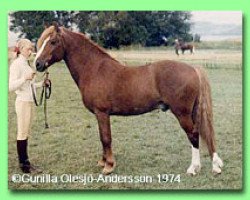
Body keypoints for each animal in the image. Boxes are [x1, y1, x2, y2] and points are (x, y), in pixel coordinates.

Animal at [33, 23, 223, 175]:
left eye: (53, 42)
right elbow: (102, 137)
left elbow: (106, 138)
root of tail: (193, 69)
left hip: (182, 114)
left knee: (193, 135)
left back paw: (193, 168)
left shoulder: (102, 113)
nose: (37, 64)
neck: (94, 69)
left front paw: (109, 166)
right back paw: (214, 165)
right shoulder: (99, 115)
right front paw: (103, 161)